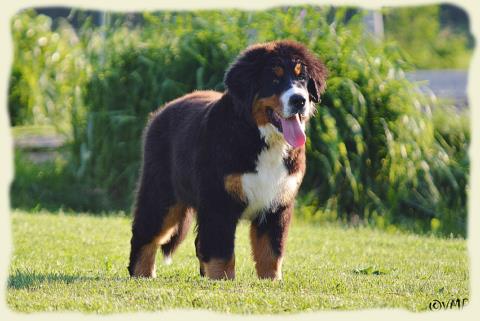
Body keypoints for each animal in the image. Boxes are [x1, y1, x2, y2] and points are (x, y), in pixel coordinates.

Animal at [127, 40, 326, 280]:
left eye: (302, 77)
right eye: (274, 78)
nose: (299, 100)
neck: (260, 138)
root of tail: (161, 112)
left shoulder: (277, 202)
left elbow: (271, 251)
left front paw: (272, 280)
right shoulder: (218, 201)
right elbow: (221, 251)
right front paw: (222, 280)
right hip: (161, 193)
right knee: (146, 232)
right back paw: (142, 273)